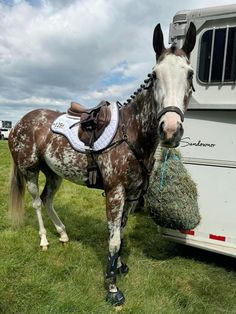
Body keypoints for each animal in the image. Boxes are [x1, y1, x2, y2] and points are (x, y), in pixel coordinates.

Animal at [8, 22, 195, 306]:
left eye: (190, 74)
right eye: (154, 75)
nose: (171, 130)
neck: (130, 134)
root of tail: (19, 123)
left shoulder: (131, 196)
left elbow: (120, 232)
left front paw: (118, 267)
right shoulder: (115, 193)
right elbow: (114, 240)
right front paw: (112, 287)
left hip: (54, 174)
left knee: (48, 200)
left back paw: (63, 234)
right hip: (29, 171)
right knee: (37, 203)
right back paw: (44, 241)